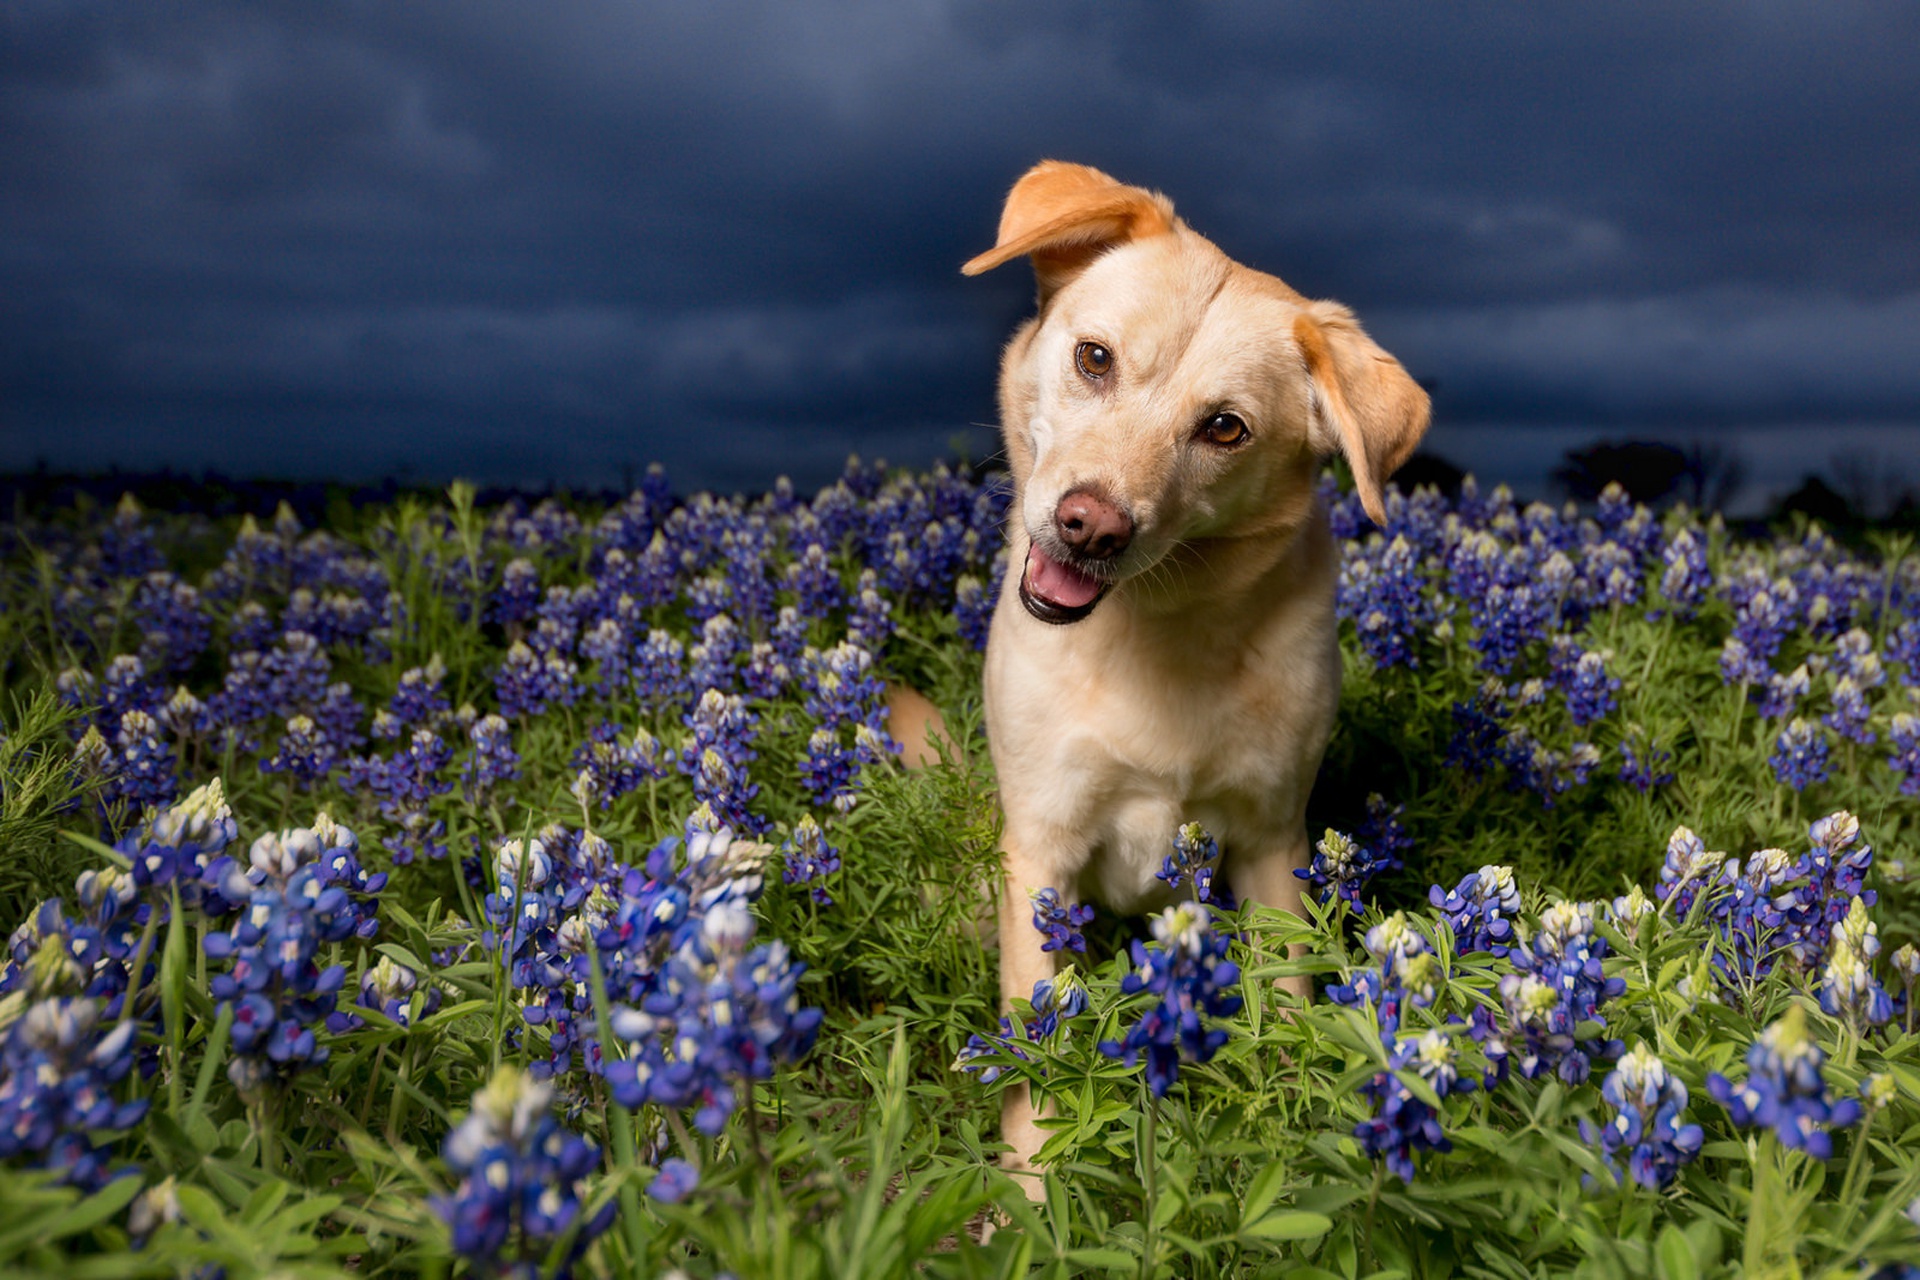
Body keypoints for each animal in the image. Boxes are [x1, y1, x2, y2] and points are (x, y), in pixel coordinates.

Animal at [960, 160, 1428, 1182]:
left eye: (1224, 428)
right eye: (1095, 358)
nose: (1090, 524)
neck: (1156, 629)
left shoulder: (1270, 841)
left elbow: (1285, 1005)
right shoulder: (1041, 848)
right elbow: (1038, 1049)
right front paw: (1033, 1194)